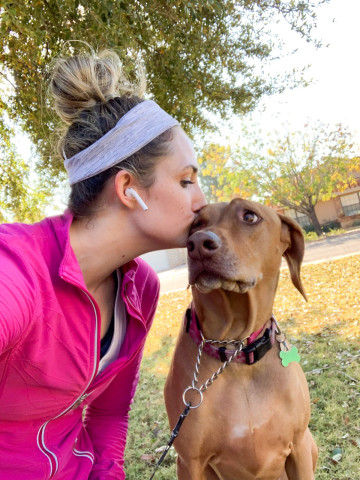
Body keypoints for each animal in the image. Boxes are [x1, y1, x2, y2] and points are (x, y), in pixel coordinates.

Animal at [165, 199, 316, 480]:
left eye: (249, 216)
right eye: (196, 224)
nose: (198, 243)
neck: (235, 349)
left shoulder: (299, 444)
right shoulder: (189, 461)